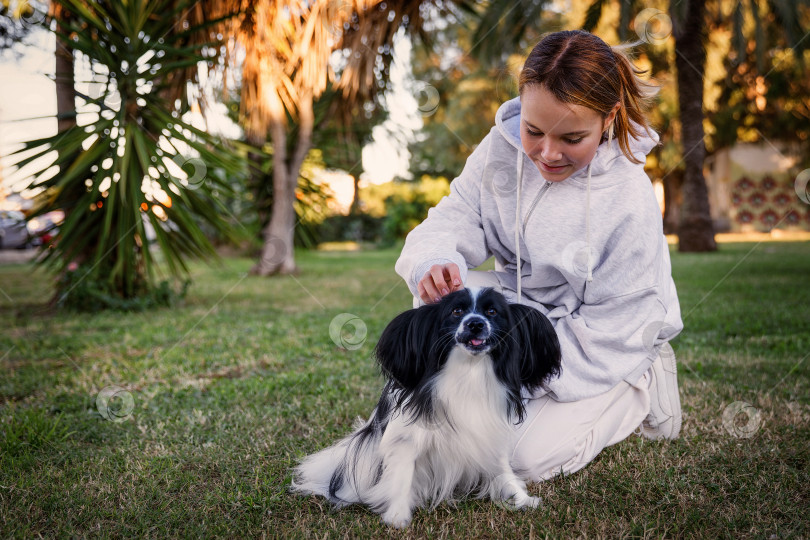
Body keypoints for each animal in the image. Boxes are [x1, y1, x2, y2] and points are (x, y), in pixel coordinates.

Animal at [290, 286, 560, 528]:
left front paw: (520, 498)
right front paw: (397, 517)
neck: (468, 370)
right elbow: (402, 475)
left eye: (492, 312)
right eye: (456, 311)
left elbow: (502, 467)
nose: (475, 324)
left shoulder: (489, 430)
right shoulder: (407, 439)